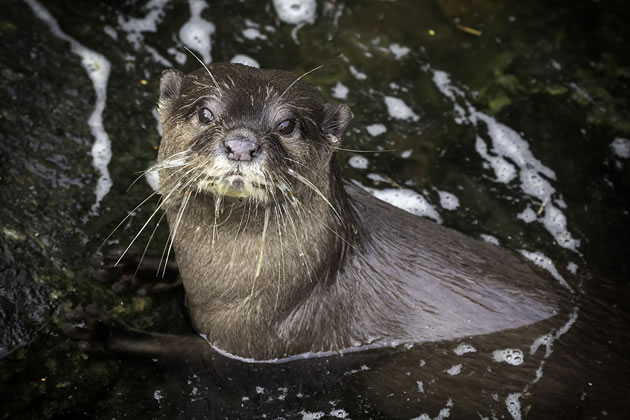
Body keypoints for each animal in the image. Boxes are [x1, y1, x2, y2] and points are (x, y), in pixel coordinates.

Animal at [66, 62, 564, 360]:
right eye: (205, 113)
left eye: (287, 125)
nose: (241, 143)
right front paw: (130, 266)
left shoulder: (252, 347)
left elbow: (173, 349)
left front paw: (106, 333)